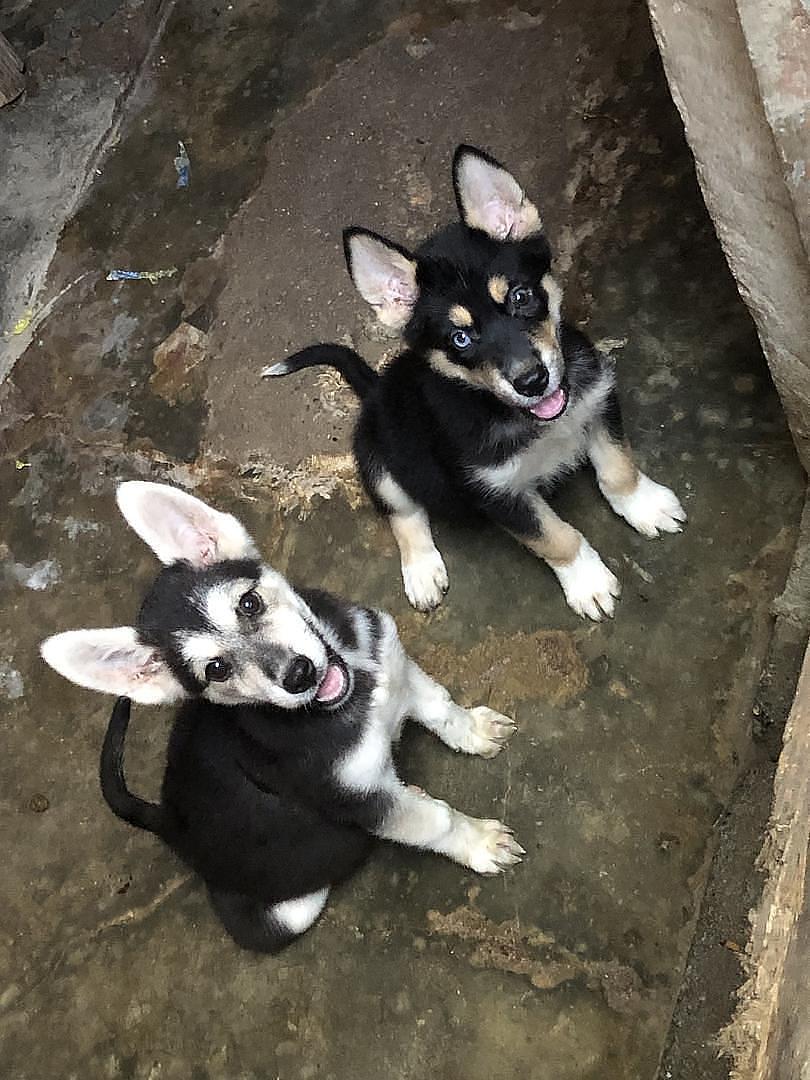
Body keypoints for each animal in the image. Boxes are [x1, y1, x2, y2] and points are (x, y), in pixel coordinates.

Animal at [39, 486, 520, 950]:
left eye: (249, 604)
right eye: (216, 670)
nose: (298, 674)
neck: (351, 696)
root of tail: (172, 824)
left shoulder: (395, 667)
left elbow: (441, 707)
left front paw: (475, 730)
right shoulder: (358, 797)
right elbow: (435, 822)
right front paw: (478, 842)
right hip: (289, 912)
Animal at [266, 141, 686, 626]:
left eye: (521, 297)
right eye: (460, 338)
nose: (532, 380)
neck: (529, 419)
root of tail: (374, 389)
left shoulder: (597, 402)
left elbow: (619, 469)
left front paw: (645, 507)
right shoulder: (496, 494)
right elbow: (555, 538)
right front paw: (587, 582)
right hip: (378, 460)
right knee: (403, 512)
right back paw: (422, 571)